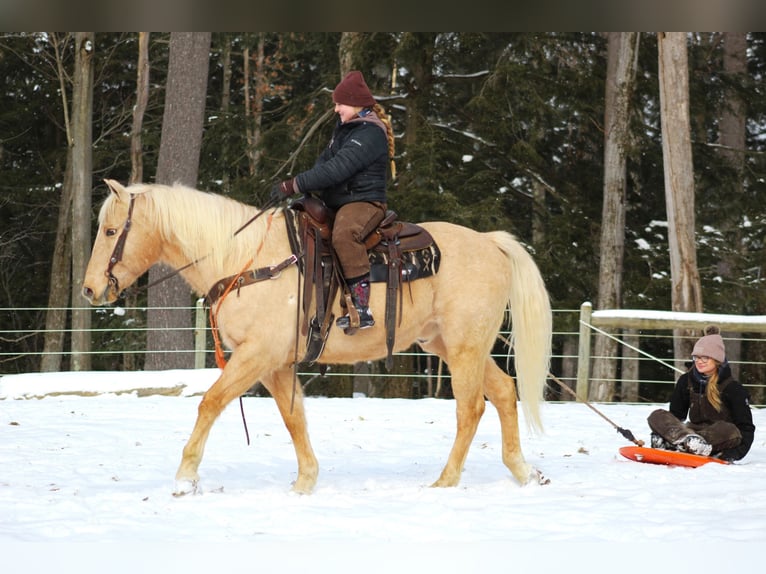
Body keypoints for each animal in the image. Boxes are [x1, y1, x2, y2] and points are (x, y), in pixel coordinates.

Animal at [82, 180, 552, 496]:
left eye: (110, 231)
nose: (89, 289)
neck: (245, 261)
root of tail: (491, 243)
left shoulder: (255, 356)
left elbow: (210, 403)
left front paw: (185, 478)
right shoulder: (274, 365)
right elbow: (294, 418)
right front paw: (305, 481)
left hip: (464, 347)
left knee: (471, 408)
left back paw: (447, 480)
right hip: (451, 346)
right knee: (504, 393)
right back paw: (524, 471)